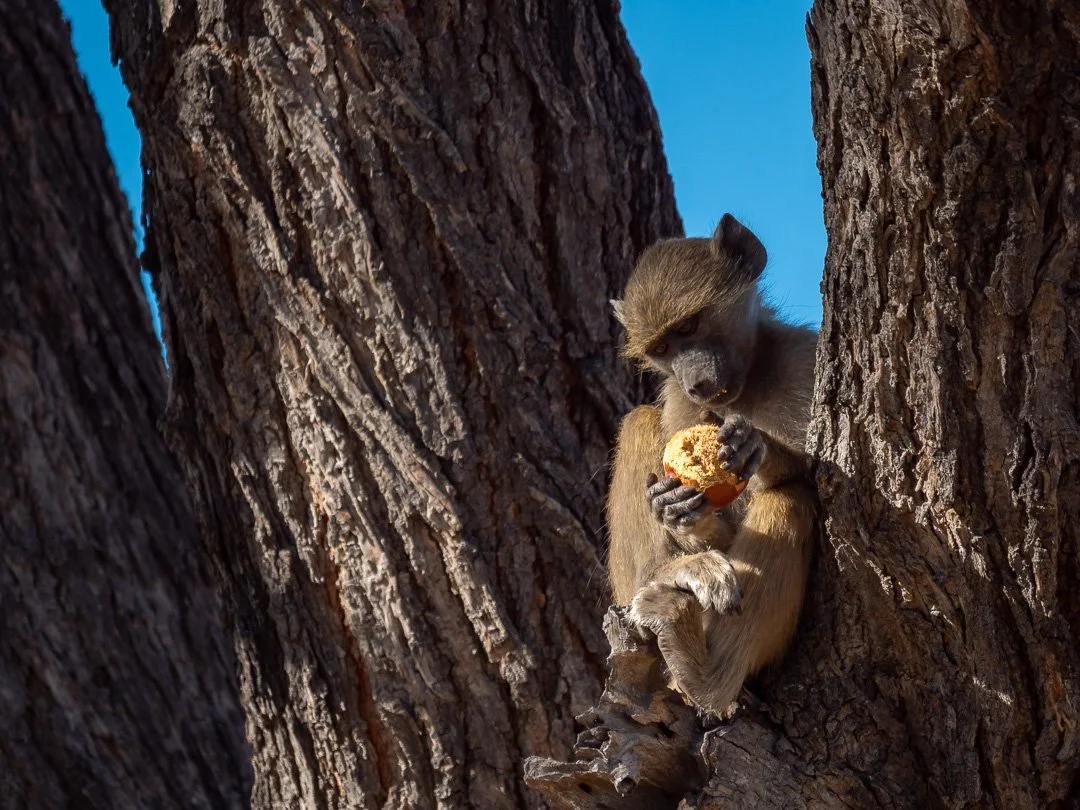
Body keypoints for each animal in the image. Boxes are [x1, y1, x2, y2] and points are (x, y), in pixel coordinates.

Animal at [606, 213, 817, 719]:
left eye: (690, 326)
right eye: (662, 348)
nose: (698, 382)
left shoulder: (807, 359)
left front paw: (754, 446)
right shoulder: (680, 405)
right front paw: (679, 512)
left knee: (791, 498)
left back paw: (707, 679)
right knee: (639, 419)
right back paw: (669, 574)